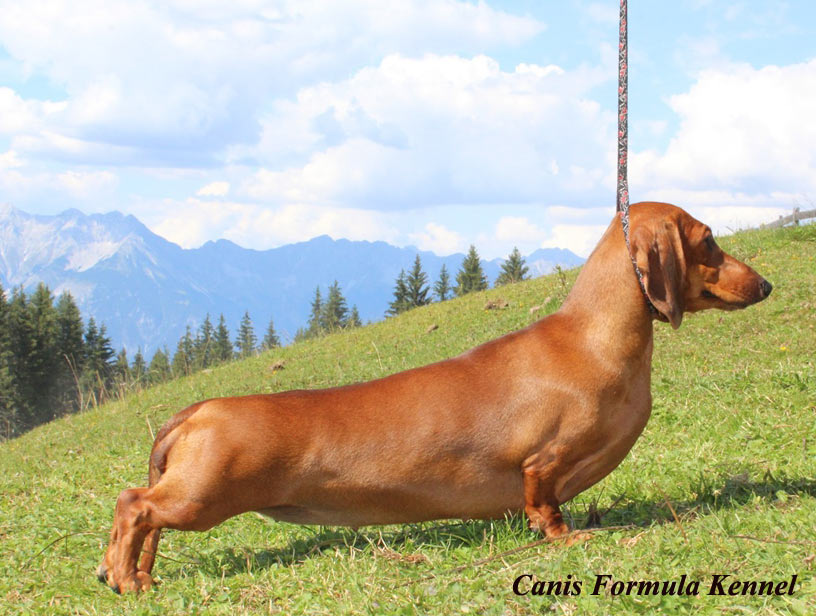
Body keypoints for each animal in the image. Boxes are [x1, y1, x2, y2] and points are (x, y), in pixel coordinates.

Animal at [97, 203, 772, 592]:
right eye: (709, 240)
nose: (765, 285)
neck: (594, 338)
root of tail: (195, 410)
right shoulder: (543, 462)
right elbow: (545, 505)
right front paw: (569, 537)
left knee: (147, 521)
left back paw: (133, 572)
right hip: (203, 495)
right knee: (134, 506)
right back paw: (127, 581)